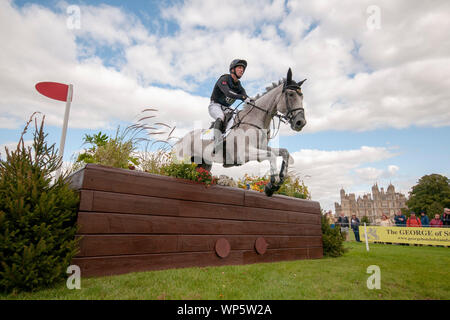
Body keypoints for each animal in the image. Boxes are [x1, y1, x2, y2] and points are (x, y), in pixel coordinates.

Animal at [172, 68, 306, 195]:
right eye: (290, 94)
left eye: (302, 96)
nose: (301, 122)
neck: (255, 119)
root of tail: (180, 141)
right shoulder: (244, 153)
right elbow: (271, 156)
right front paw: (271, 185)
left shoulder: (261, 148)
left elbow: (284, 152)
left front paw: (280, 180)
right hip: (182, 161)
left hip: (204, 164)